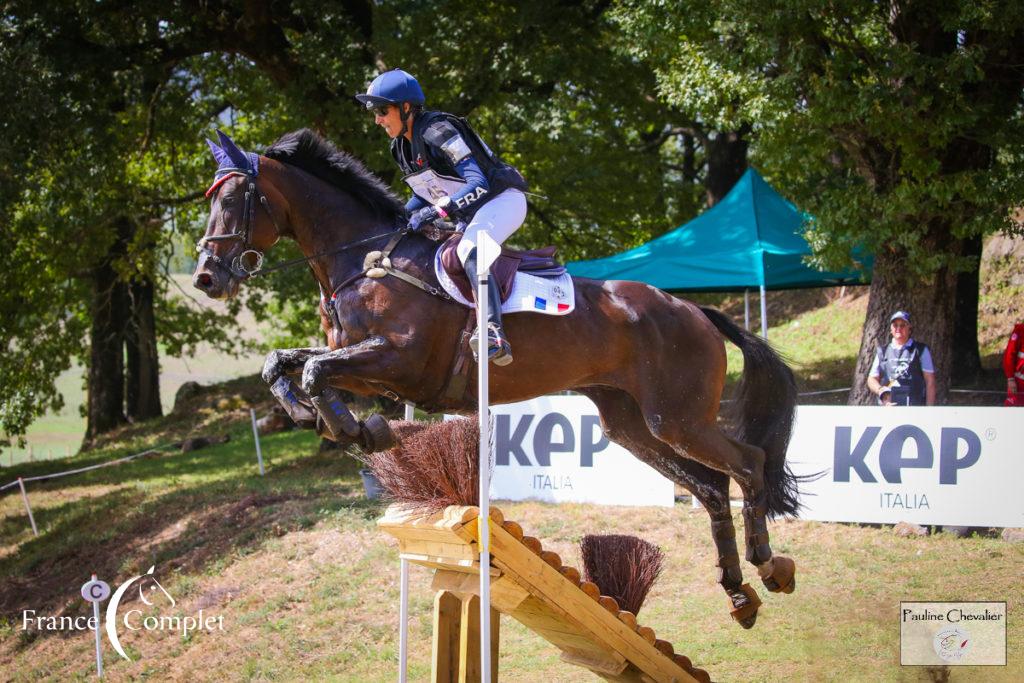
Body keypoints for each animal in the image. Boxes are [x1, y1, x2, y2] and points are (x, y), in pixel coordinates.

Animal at [192, 127, 798, 630]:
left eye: (233, 200)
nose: (205, 277)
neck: (362, 260)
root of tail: (694, 310)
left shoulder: (397, 362)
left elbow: (316, 369)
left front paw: (355, 430)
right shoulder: (365, 365)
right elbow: (285, 363)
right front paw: (320, 417)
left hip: (676, 416)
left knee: (748, 464)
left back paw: (769, 566)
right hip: (633, 424)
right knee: (711, 486)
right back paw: (739, 594)